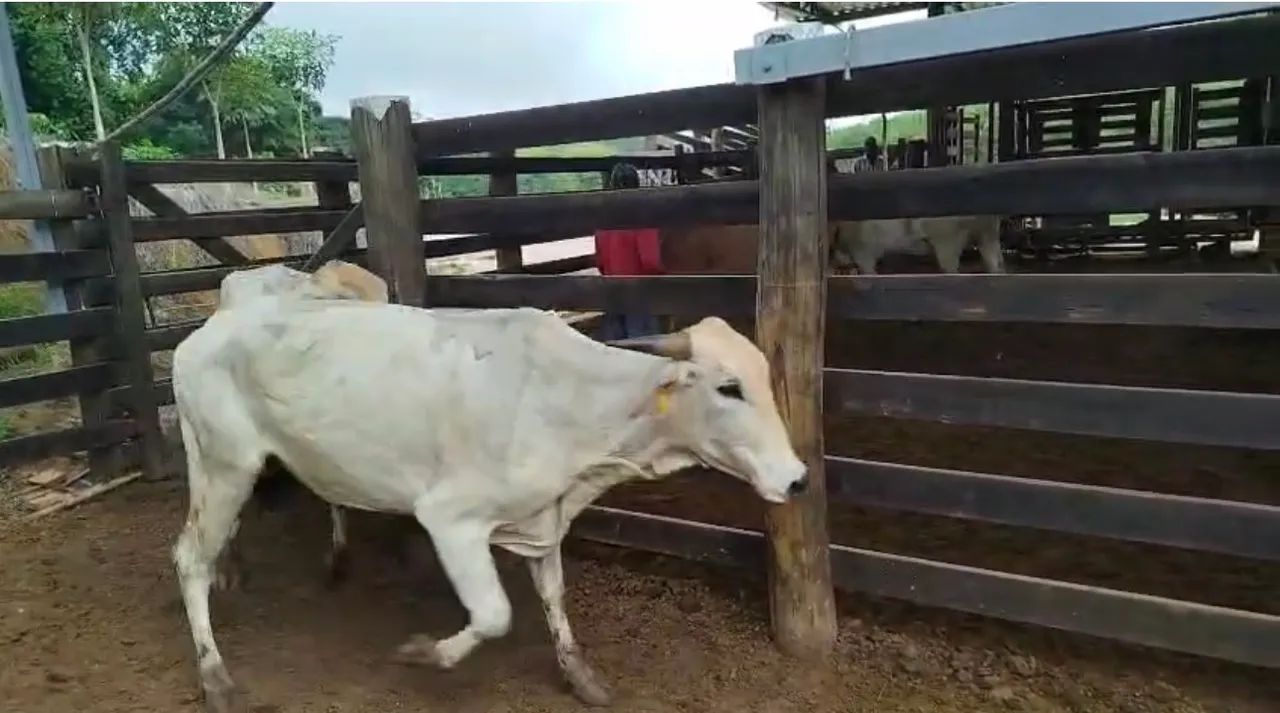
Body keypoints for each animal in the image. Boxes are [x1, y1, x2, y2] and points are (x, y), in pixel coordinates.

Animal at [170, 264, 807, 712]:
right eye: (729, 388)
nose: (797, 478)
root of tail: (213, 326)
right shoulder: (449, 518)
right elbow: (495, 613)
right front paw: (426, 652)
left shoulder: (543, 518)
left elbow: (553, 596)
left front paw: (580, 676)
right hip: (226, 463)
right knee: (187, 558)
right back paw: (214, 674)